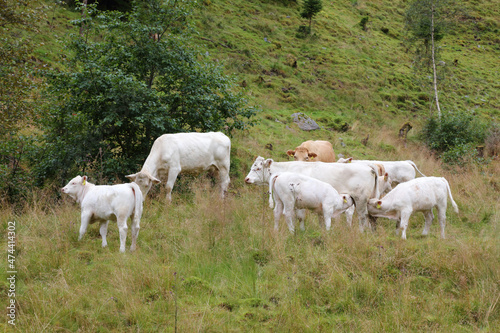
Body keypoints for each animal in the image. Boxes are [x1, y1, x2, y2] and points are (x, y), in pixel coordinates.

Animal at [245, 156, 378, 231]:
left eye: (257, 168)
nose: (247, 179)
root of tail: (368, 166)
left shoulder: (299, 202)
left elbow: (300, 217)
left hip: (361, 200)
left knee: (362, 216)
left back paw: (361, 232)